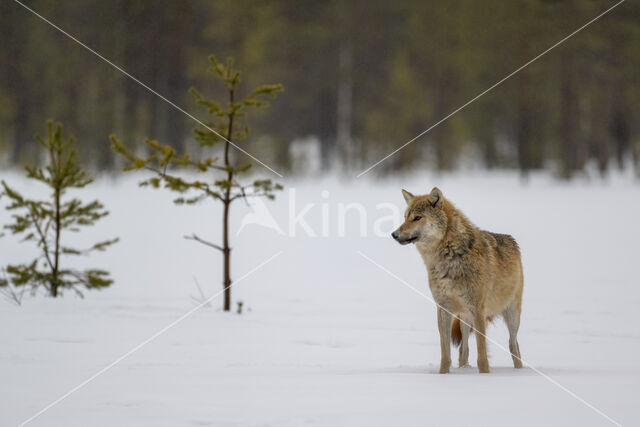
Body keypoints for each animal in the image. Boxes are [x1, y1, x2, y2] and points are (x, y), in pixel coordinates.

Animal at [390, 188, 524, 374]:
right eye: (405, 217)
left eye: (417, 218)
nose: (394, 234)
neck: (448, 258)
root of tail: (513, 241)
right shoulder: (443, 308)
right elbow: (445, 353)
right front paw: (444, 375)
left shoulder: (478, 310)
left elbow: (482, 355)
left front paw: (485, 375)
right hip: (464, 318)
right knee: (464, 350)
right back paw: (464, 369)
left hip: (511, 315)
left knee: (514, 346)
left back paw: (519, 371)